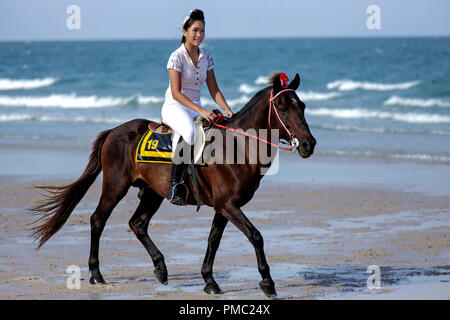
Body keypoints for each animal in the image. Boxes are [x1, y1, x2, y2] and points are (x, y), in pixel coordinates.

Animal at [29, 72, 316, 298]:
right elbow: (256, 236)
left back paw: (160, 268)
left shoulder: (223, 207)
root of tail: (113, 131)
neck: (236, 147)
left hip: (152, 193)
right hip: (115, 186)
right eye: (282, 107)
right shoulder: (228, 205)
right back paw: (96, 274)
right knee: (98, 220)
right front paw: (267, 283)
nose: (309, 144)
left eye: (302, 106)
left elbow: (213, 239)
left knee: (137, 223)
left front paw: (209, 280)